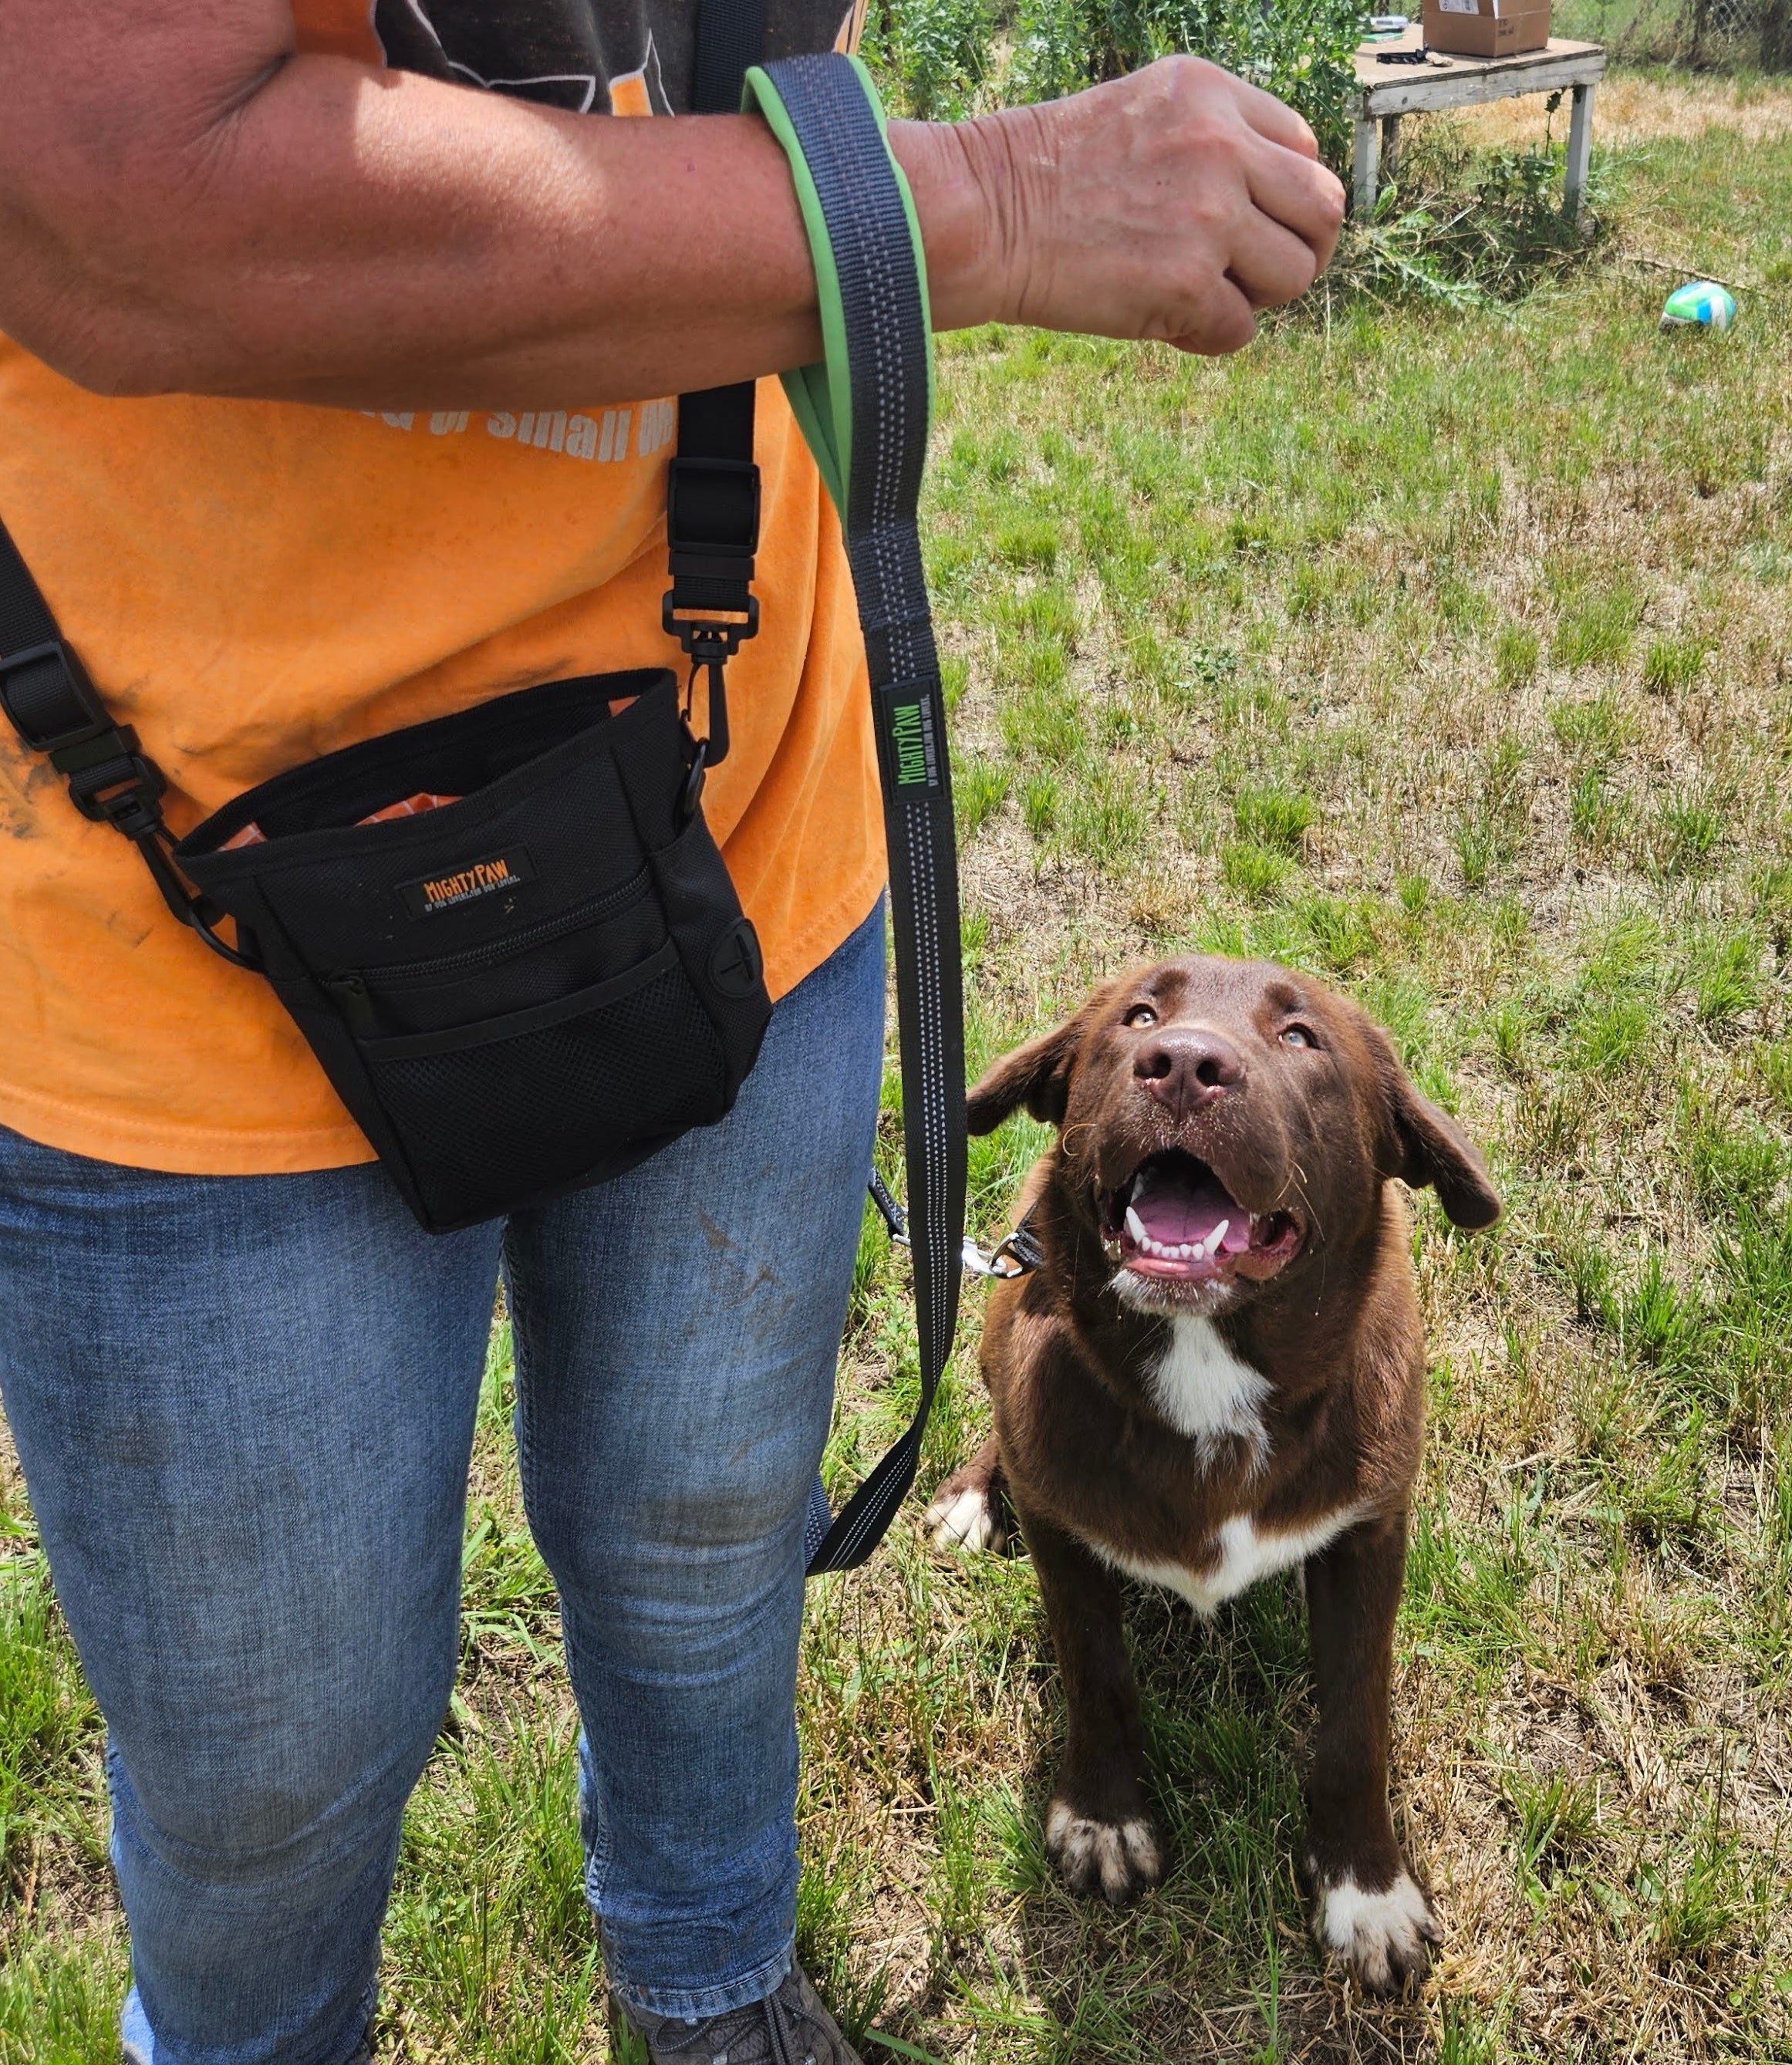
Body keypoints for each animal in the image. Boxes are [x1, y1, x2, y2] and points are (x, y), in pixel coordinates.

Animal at [924, 958, 1494, 1990]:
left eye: (1300, 1037)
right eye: (1138, 1014)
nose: (1183, 1065)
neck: (1208, 1363)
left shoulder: (1370, 1532)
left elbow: (1356, 1720)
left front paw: (1365, 1890)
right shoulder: (1062, 1530)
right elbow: (1096, 1672)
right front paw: (1105, 1818)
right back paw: (970, 1496)